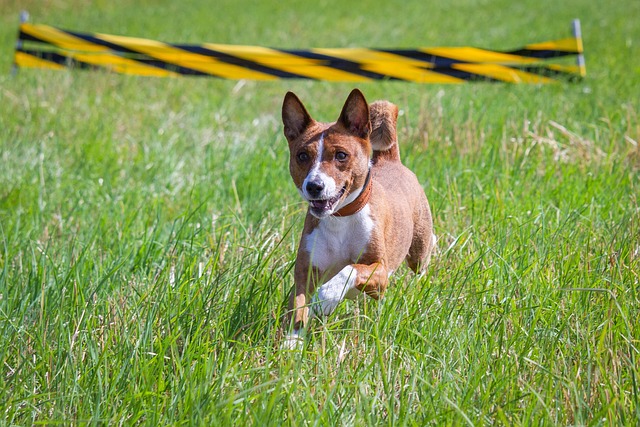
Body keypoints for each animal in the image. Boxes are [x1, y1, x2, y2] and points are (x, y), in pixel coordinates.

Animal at [282, 88, 436, 350]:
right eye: (302, 155)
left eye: (341, 155)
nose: (314, 186)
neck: (340, 219)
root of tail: (390, 159)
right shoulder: (305, 271)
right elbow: (298, 306)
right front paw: (292, 342)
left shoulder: (380, 273)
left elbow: (350, 269)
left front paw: (325, 298)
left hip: (418, 250)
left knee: (423, 259)